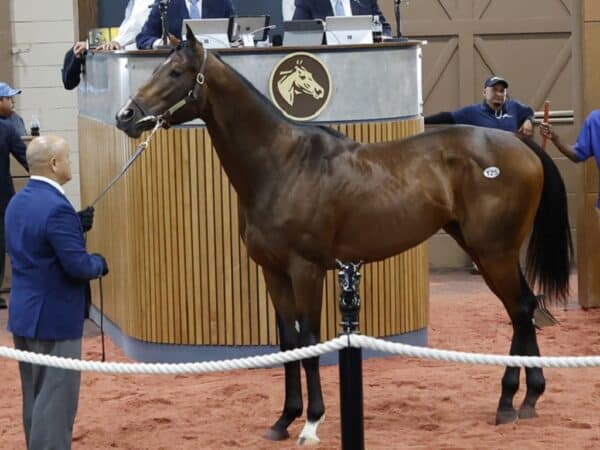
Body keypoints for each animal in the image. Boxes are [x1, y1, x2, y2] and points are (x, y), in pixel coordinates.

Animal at [116, 29, 572, 444]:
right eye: (155, 67)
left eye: (175, 72)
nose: (126, 116)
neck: (282, 165)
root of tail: (519, 144)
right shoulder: (273, 272)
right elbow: (288, 342)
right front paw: (284, 419)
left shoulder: (306, 270)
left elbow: (310, 339)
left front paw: (312, 422)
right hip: (488, 251)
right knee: (523, 307)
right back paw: (527, 399)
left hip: (494, 252)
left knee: (520, 310)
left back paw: (510, 402)